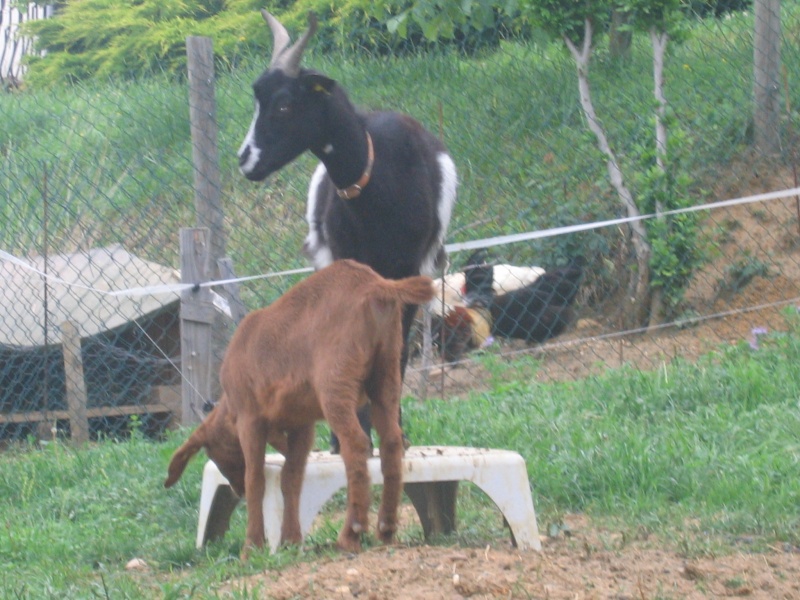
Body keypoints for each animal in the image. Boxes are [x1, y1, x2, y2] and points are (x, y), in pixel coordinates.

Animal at [236, 10, 456, 450]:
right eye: (257, 100)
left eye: (284, 104)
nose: (245, 160)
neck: (379, 185)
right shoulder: (347, 264)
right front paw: (353, 437)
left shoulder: (406, 271)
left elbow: (395, 353)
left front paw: (394, 435)